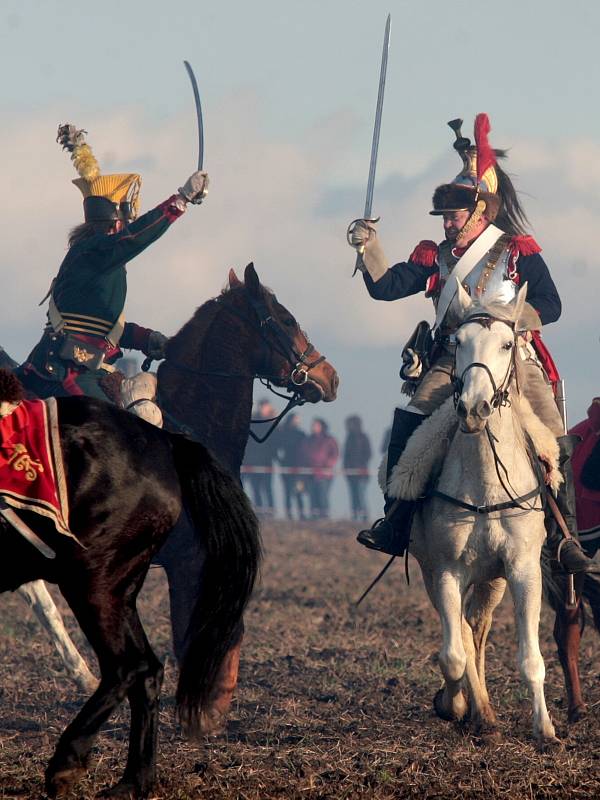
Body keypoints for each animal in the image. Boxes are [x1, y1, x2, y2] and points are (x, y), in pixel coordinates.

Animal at [0, 372, 260, 796]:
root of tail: (163, 442)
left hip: (98, 583)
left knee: (130, 665)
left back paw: (76, 761)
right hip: (111, 586)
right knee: (143, 667)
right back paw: (127, 774)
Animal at [392, 284, 560, 748]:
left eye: (506, 344)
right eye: (458, 342)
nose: (472, 408)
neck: (485, 482)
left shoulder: (522, 570)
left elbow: (530, 658)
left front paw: (545, 729)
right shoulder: (446, 570)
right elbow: (452, 654)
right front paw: (453, 704)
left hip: (493, 580)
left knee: (476, 627)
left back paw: (484, 711)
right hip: (437, 574)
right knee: (464, 635)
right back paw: (476, 710)